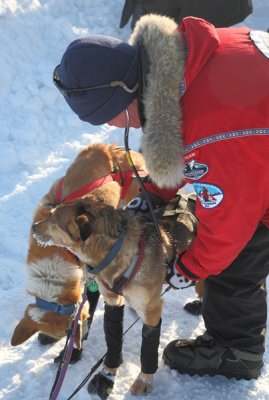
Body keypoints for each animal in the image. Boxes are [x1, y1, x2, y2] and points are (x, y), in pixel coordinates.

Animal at [31, 192, 196, 396]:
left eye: (54, 219)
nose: (34, 226)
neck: (115, 253)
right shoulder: (112, 300)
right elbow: (113, 340)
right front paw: (107, 374)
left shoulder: (151, 311)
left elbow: (148, 349)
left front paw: (144, 379)